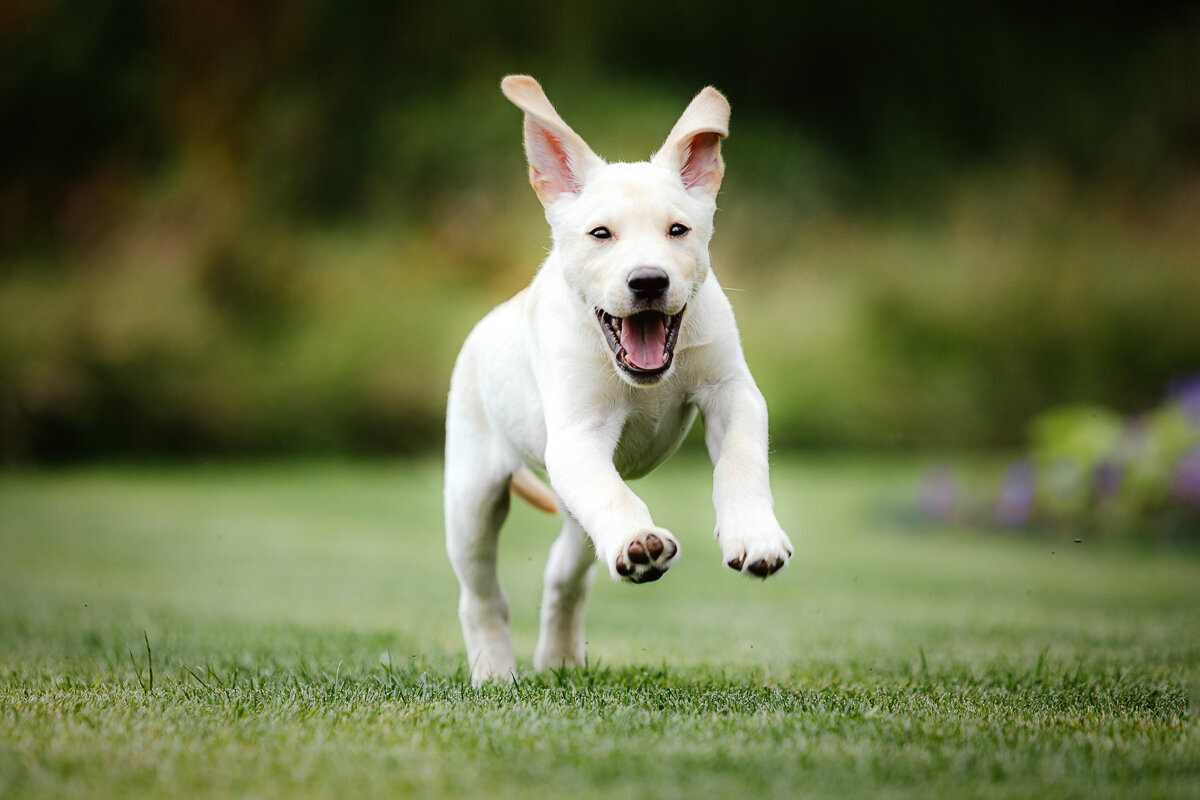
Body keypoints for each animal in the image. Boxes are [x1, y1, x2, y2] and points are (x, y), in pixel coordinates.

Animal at [446, 77, 792, 686]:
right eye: (600, 234)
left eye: (678, 230)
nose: (649, 281)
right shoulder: (577, 438)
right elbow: (614, 495)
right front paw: (639, 544)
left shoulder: (734, 394)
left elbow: (742, 462)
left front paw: (755, 536)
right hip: (472, 498)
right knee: (481, 595)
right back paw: (495, 672)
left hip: (565, 510)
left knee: (565, 570)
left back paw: (559, 659)